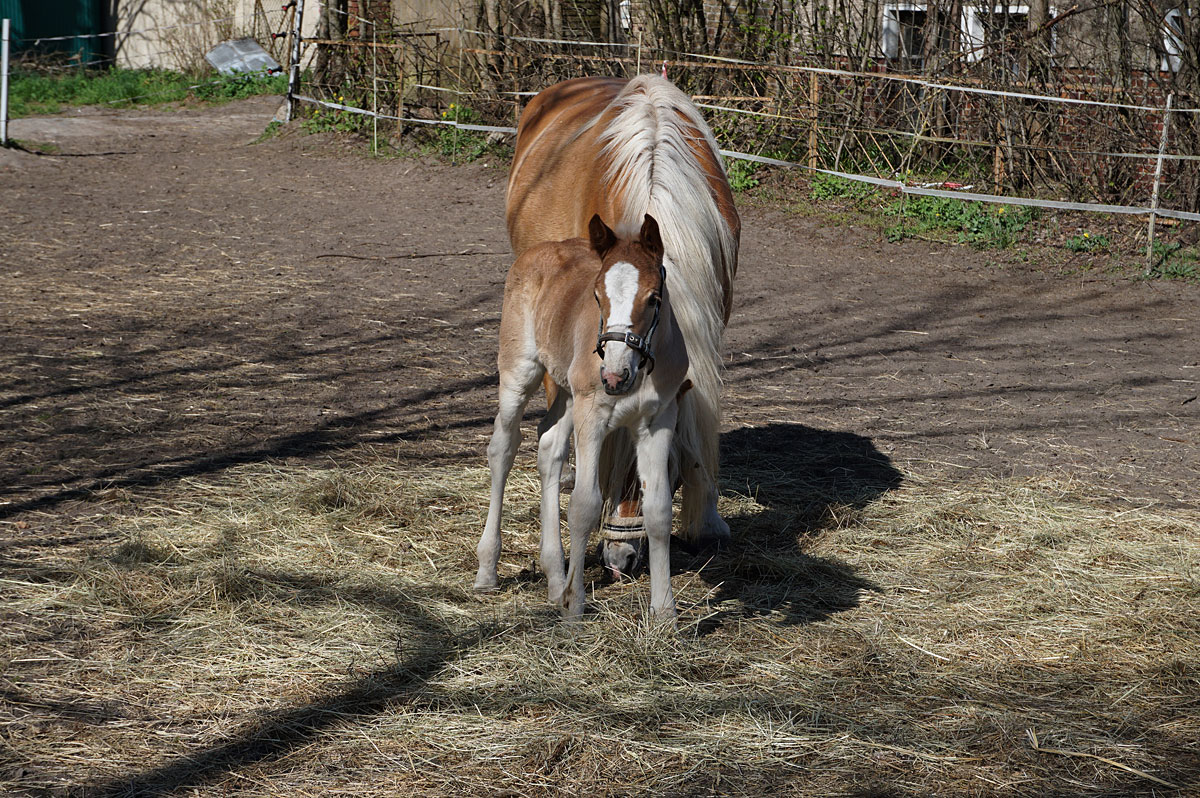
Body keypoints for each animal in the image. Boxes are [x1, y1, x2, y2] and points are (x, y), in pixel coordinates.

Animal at [472, 214, 691, 619]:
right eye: (597, 297)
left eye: (654, 299)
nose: (614, 376)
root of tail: (540, 250)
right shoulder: (593, 414)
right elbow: (584, 505)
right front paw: (575, 608)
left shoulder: (658, 419)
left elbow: (658, 511)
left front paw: (665, 612)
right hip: (520, 371)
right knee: (503, 447)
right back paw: (488, 571)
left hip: (567, 391)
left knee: (548, 445)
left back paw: (556, 580)